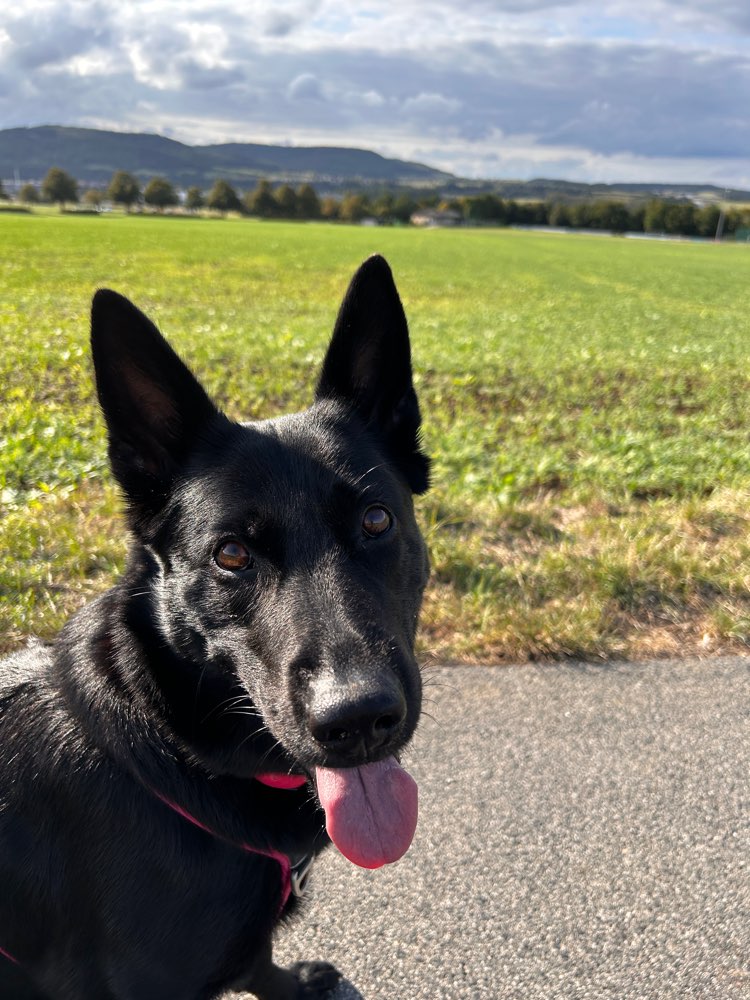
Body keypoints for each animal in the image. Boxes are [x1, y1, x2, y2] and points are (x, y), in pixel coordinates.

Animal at [0, 256, 432, 1000]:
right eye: (230, 555)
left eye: (377, 520)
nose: (358, 719)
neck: (174, 744)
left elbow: (258, 957)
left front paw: (292, 984)